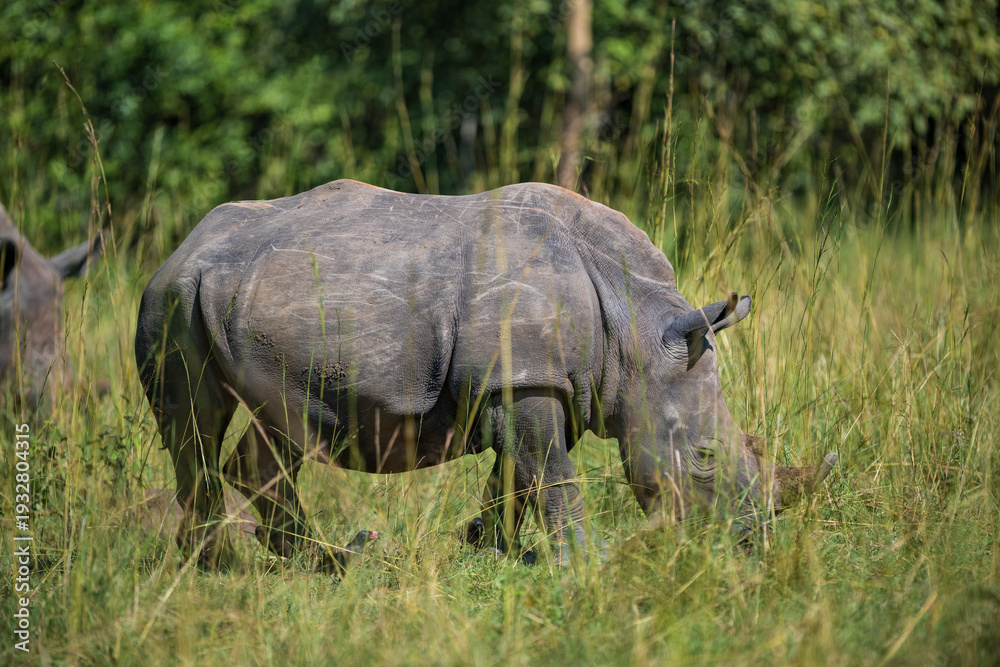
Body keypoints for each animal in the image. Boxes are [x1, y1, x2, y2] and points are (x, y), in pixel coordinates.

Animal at [134, 180, 836, 568]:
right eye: (705, 458)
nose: (749, 543)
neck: (635, 327)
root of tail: (183, 244)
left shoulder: (542, 381)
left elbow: (518, 476)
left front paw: (487, 546)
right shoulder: (523, 378)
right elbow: (554, 477)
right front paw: (584, 564)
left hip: (244, 302)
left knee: (280, 430)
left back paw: (333, 562)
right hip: (174, 297)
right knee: (197, 428)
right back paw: (216, 567)